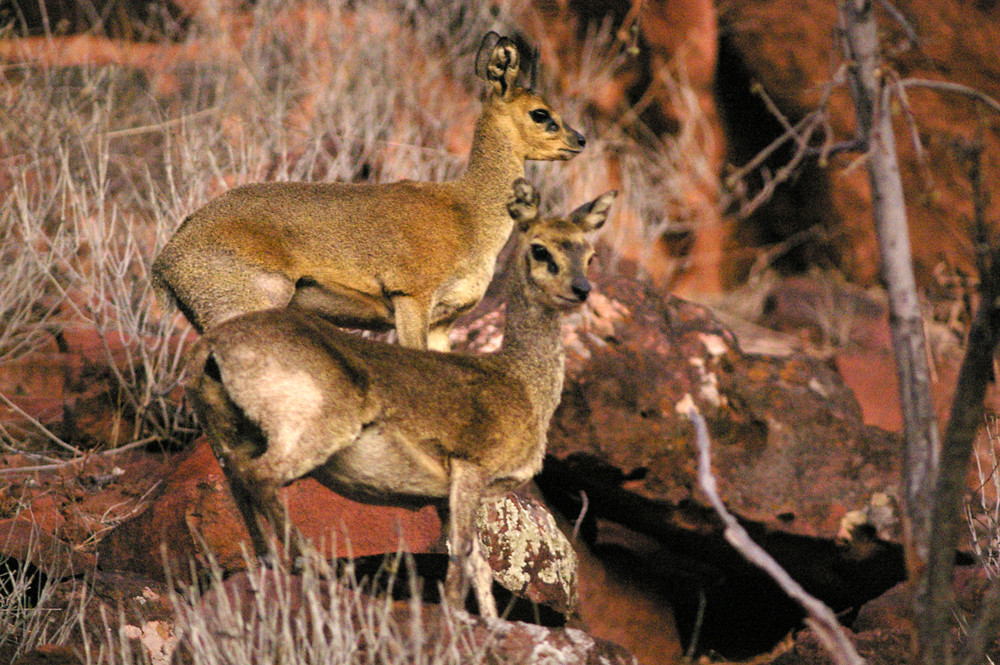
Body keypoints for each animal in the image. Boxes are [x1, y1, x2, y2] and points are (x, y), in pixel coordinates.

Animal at [151, 33, 584, 350]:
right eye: (541, 113)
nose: (579, 140)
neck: (469, 211)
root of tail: (166, 261)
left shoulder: (444, 321)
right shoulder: (411, 299)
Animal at [184, 179, 612, 616]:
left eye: (590, 254)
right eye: (540, 248)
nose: (581, 289)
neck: (521, 381)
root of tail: (212, 347)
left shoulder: (446, 498)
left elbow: (479, 568)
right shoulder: (470, 471)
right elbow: (460, 563)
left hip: (235, 437)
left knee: (237, 478)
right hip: (309, 434)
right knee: (259, 476)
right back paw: (312, 565)